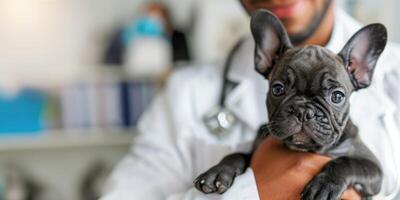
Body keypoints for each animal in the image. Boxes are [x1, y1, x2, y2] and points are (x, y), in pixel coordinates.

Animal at [195, 9, 388, 200]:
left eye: (337, 96)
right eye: (278, 89)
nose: (303, 111)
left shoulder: (373, 167)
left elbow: (345, 162)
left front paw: (325, 185)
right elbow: (238, 155)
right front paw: (217, 172)